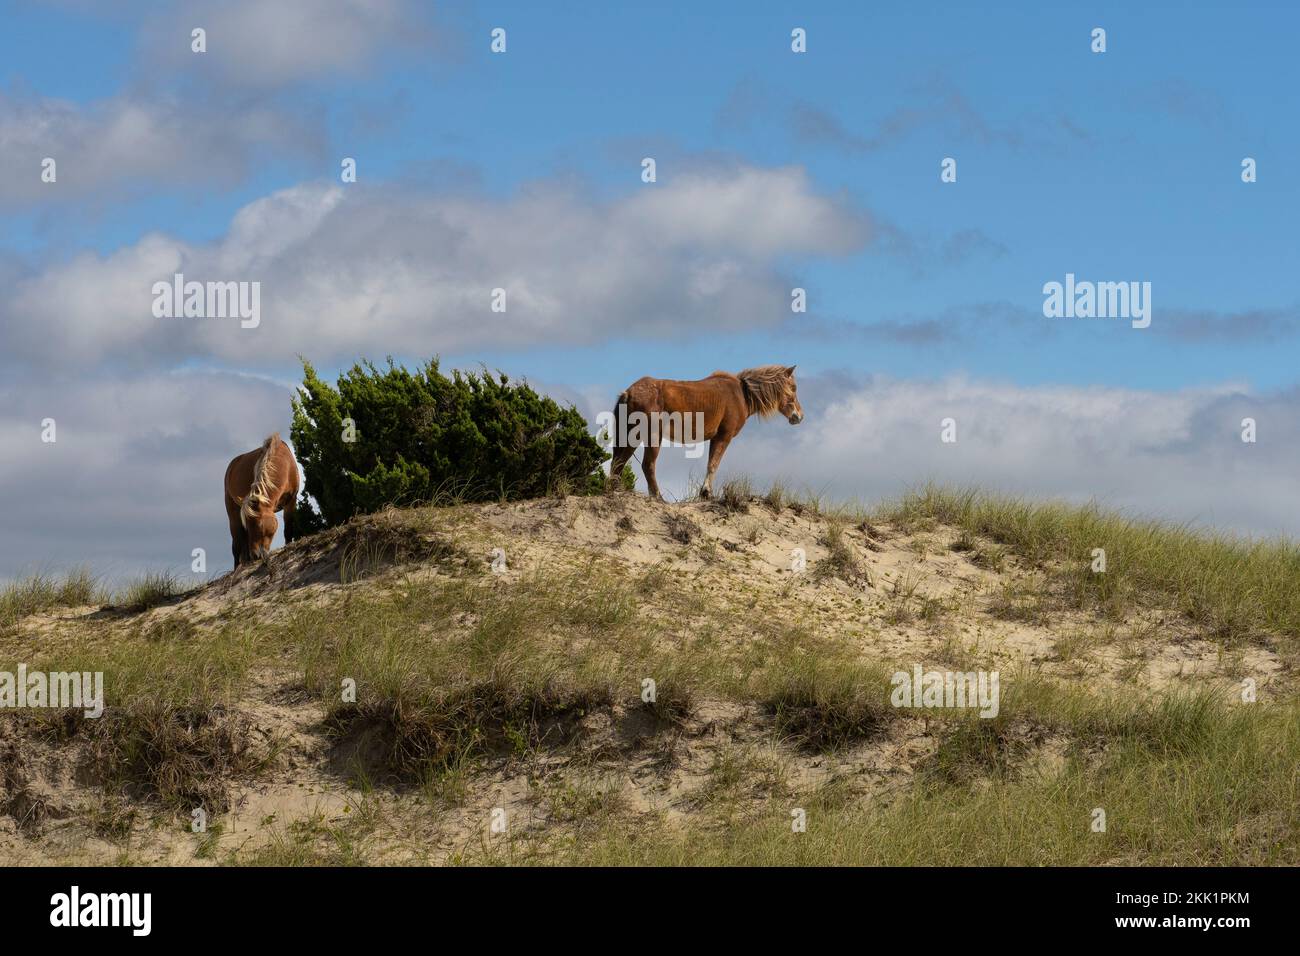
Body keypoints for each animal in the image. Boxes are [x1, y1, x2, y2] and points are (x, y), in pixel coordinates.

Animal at [223, 433, 300, 569]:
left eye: (258, 524)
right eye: (248, 525)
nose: (256, 555)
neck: (284, 463)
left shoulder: (291, 500)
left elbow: (288, 527)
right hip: (233, 514)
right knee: (237, 545)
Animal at [607, 365, 803, 500]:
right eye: (793, 388)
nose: (799, 417)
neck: (741, 394)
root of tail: (628, 392)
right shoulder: (723, 436)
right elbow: (713, 464)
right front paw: (707, 493)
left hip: (631, 436)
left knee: (618, 462)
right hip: (651, 436)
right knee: (647, 465)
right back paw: (658, 497)